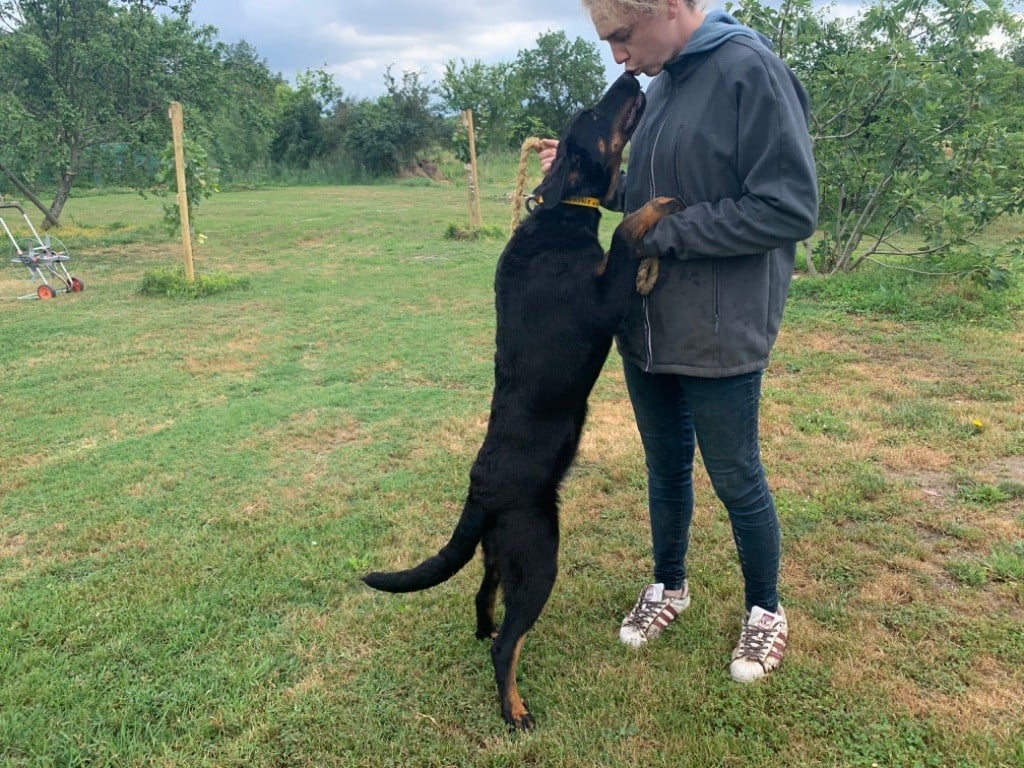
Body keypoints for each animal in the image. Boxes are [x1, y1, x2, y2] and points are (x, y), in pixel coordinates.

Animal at [363, 72, 685, 730]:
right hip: (538, 557)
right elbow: (625, 232)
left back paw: (485, 634)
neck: (562, 216)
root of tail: (479, 494)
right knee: (510, 644)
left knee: (483, 598)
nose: (629, 77)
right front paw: (658, 205)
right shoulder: (604, 303)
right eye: (595, 114)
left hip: (500, 556)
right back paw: (514, 710)